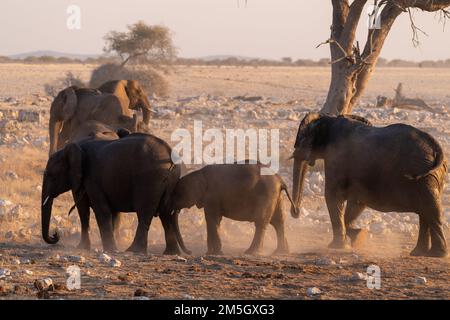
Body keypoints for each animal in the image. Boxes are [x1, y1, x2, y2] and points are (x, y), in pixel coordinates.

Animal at [40, 131, 190, 254]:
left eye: (51, 175)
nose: (55, 234)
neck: (74, 147)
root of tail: (170, 153)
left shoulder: (91, 178)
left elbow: (99, 210)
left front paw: (109, 249)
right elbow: (95, 211)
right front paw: (85, 248)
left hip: (150, 180)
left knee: (145, 213)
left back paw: (133, 251)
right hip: (169, 180)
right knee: (166, 214)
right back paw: (171, 253)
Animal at [290, 112, 448, 258]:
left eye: (301, 140)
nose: (296, 212)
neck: (330, 119)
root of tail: (436, 147)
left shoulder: (336, 157)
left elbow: (333, 196)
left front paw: (337, 246)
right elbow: (357, 202)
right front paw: (359, 238)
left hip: (424, 177)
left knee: (430, 210)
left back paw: (437, 255)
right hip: (430, 177)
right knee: (426, 212)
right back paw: (419, 253)